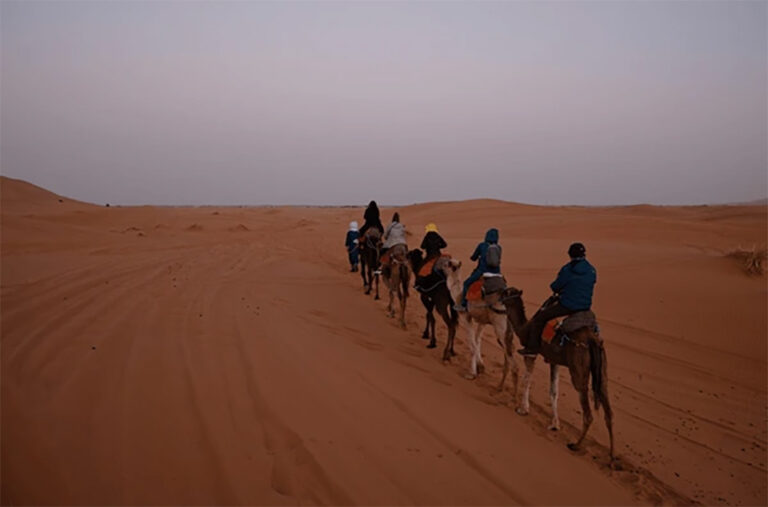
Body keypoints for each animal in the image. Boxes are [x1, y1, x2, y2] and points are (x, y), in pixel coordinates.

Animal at [440, 260, 520, 394]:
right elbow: (477, 340)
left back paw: (514, 398)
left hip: (499, 324)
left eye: (448, 263)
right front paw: (480, 367)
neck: (458, 294)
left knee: (513, 362)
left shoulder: (466, 316)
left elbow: (472, 342)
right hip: (507, 329)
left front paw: (472, 373)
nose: (439, 265)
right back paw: (499, 387)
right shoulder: (482, 321)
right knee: (509, 352)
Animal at [504, 290, 612, 460]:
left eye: (507, 292)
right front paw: (555, 424)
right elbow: (553, 392)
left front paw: (523, 409)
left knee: (588, 412)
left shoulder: (531, 353)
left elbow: (527, 380)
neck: (524, 328)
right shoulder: (553, 361)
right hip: (602, 370)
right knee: (608, 411)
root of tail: (592, 340)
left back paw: (575, 445)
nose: (498, 295)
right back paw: (612, 458)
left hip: (578, 370)